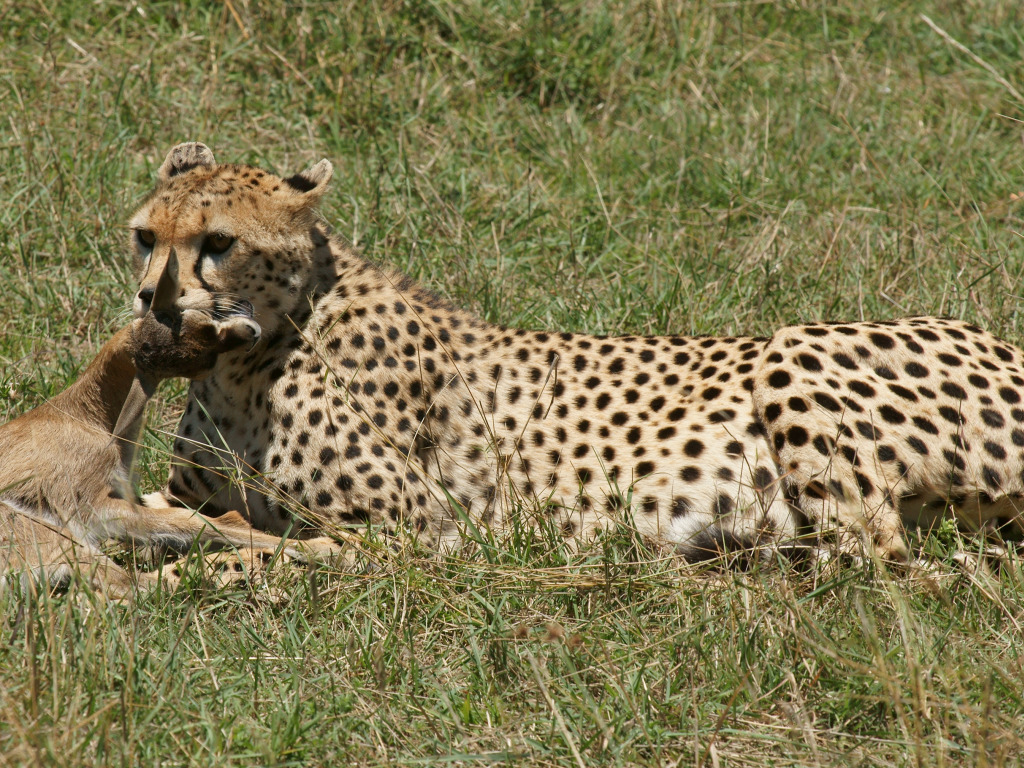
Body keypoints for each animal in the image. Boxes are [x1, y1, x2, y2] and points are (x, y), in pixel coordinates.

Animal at [128, 143, 798, 561]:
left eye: (219, 242)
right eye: (145, 237)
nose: (151, 300)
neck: (245, 364)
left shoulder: (405, 533)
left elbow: (252, 559)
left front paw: (167, 580)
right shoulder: (186, 496)